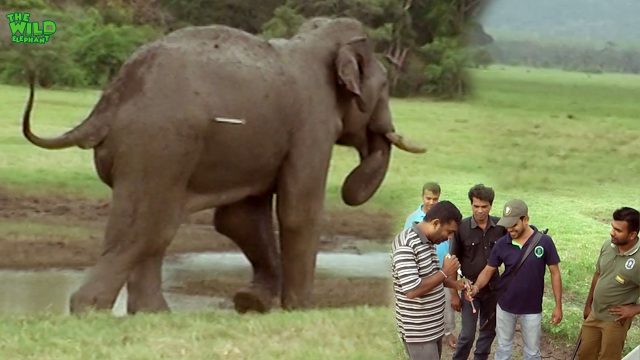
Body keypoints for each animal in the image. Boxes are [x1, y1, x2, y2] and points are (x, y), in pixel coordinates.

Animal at [22, 16, 424, 314]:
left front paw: (250, 302)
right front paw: (300, 309)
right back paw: (90, 310)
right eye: (384, 86)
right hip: (159, 146)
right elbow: (298, 211)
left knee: (157, 228)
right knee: (148, 225)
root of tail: (110, 99)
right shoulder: (312, 125)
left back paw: (153, 314)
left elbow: (239, 220)